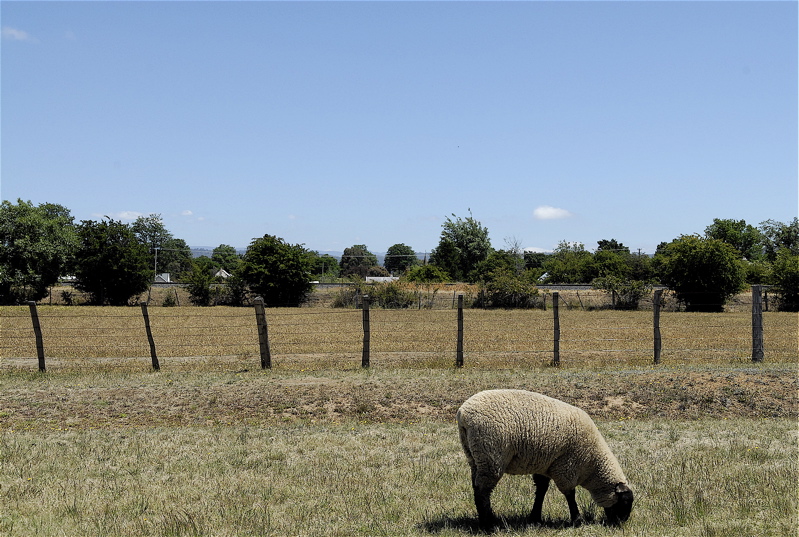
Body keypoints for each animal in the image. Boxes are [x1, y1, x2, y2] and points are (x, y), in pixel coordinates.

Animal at [460, 388, 636, 528]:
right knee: (483, 491)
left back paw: (489, 519)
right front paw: (577, 520)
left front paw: (535, 518)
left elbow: (541, 490)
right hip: (491, 456)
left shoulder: (545, 465)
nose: (622, 523)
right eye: (625, 502)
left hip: (475, 456)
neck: (592, 465)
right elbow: (569, 494)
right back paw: (488, 524)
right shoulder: (567, 466)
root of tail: (463, 413)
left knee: (476, 486)